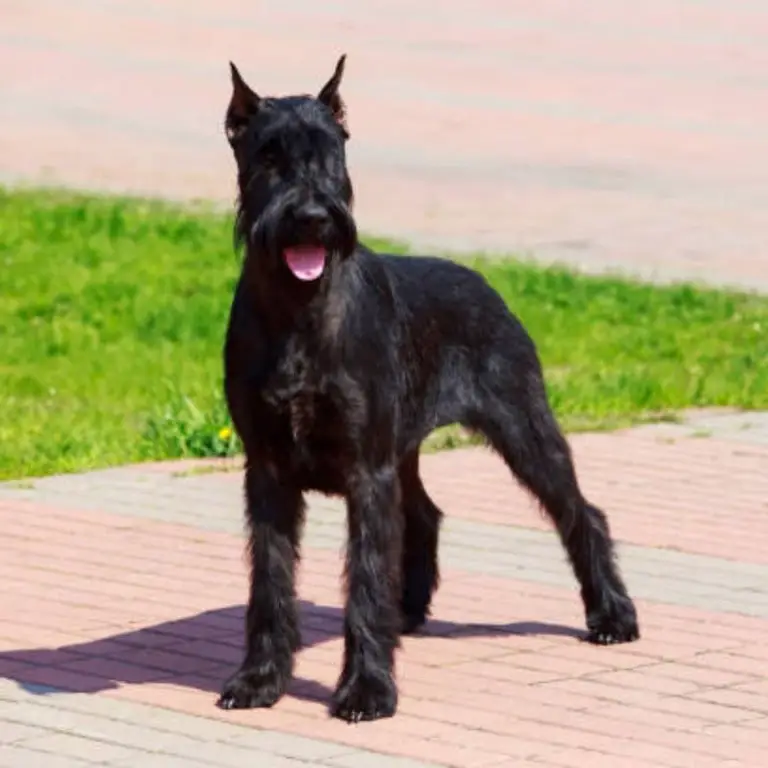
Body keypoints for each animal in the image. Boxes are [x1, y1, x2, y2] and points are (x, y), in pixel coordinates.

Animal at [216, 57, 636, 724]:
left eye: (330, 152)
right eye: (268, 156)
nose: (312, 218)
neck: (299, 309)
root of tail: (484, 281)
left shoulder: (367, 471)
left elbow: (363, 577)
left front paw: (367, 690)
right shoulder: (270, 471)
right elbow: (270, 581)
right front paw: (259, 679)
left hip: (522, 424)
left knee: (580, 511)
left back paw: (613, 615)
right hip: (407, 448)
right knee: (425, 515)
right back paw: (406, 611)